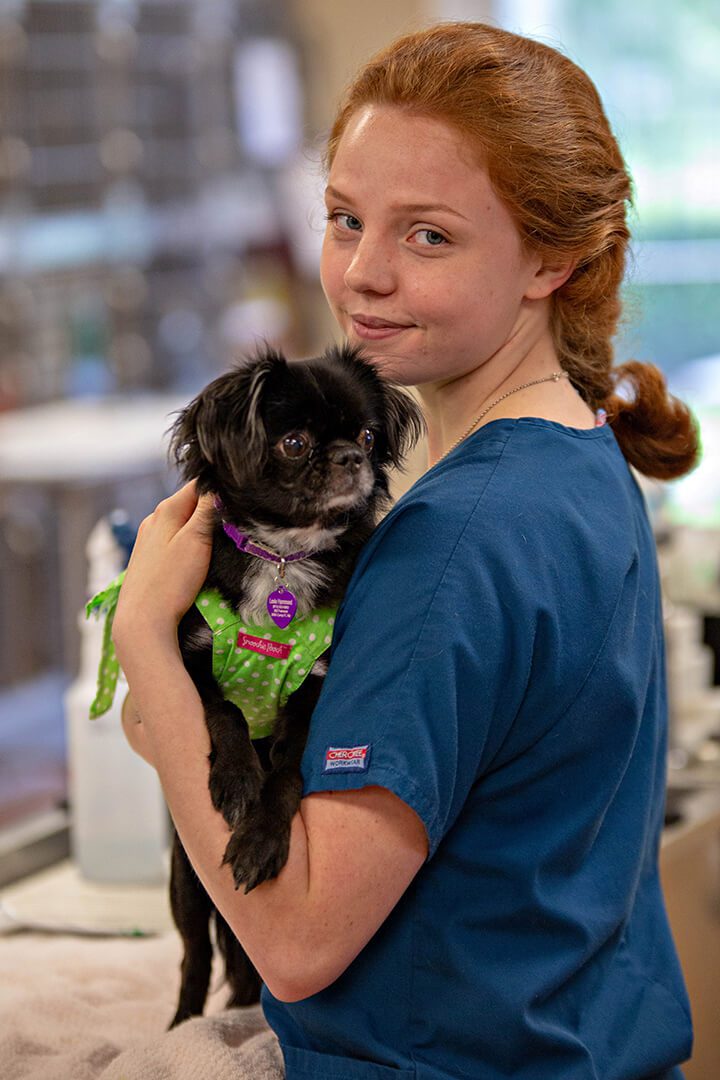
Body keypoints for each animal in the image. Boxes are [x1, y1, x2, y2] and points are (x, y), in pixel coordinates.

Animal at [166, 341, 425, 1023]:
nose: (350, 457)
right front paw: (236, 780)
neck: (284, 554)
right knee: (193, 957)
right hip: (185, 883)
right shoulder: (191, 663)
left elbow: (287, 770)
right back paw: (182, 1022)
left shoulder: (315, 691)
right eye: (294, 443)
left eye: (367, 436)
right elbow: (227, 714)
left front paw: (259, 837)